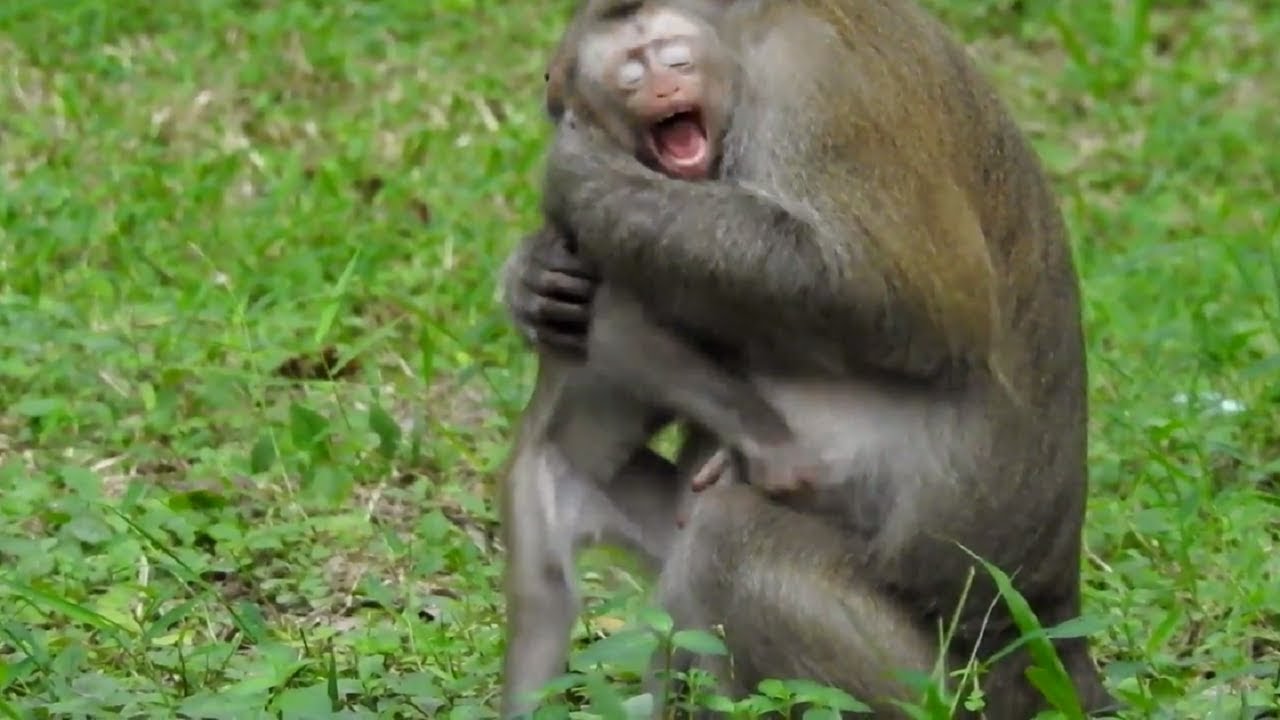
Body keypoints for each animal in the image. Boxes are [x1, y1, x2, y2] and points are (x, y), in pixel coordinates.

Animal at [503, 0, 1118, 716]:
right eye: (632, 70)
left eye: (669, 57)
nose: (660, 86)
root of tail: (1051, 627)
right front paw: (531, 279)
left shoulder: (814, 79)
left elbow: (892, 294)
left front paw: (579, 175)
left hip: (939, 681)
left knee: (726, 541)